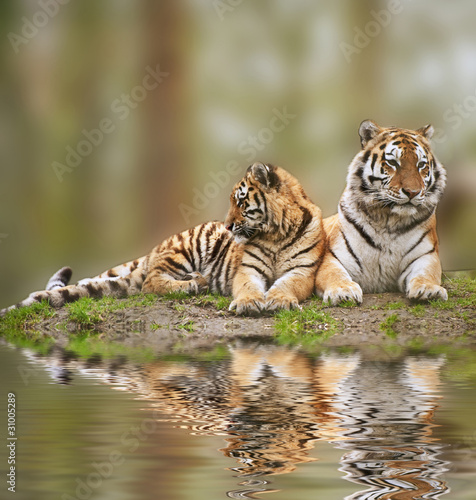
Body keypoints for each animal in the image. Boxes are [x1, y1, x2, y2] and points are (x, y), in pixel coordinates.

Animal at [1, 162, 324, 314]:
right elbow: (246, 287)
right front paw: (247, 303)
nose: (228, 225)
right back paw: (194, 283)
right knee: (150, 282)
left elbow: (287, 286)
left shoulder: (302, 272)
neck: (276, 233)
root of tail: (155, 249)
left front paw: (279, 301)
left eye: (241, 202)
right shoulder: (248, 270)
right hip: (187, 247)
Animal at [316, 120, 446, 304]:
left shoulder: (426, 255)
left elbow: (426, 274)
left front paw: (429, 289)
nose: (412, 192)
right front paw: (342, 291)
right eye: (393, 163)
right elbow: (335, 274)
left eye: (421, 165)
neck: (388, 220)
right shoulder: (334, 257)